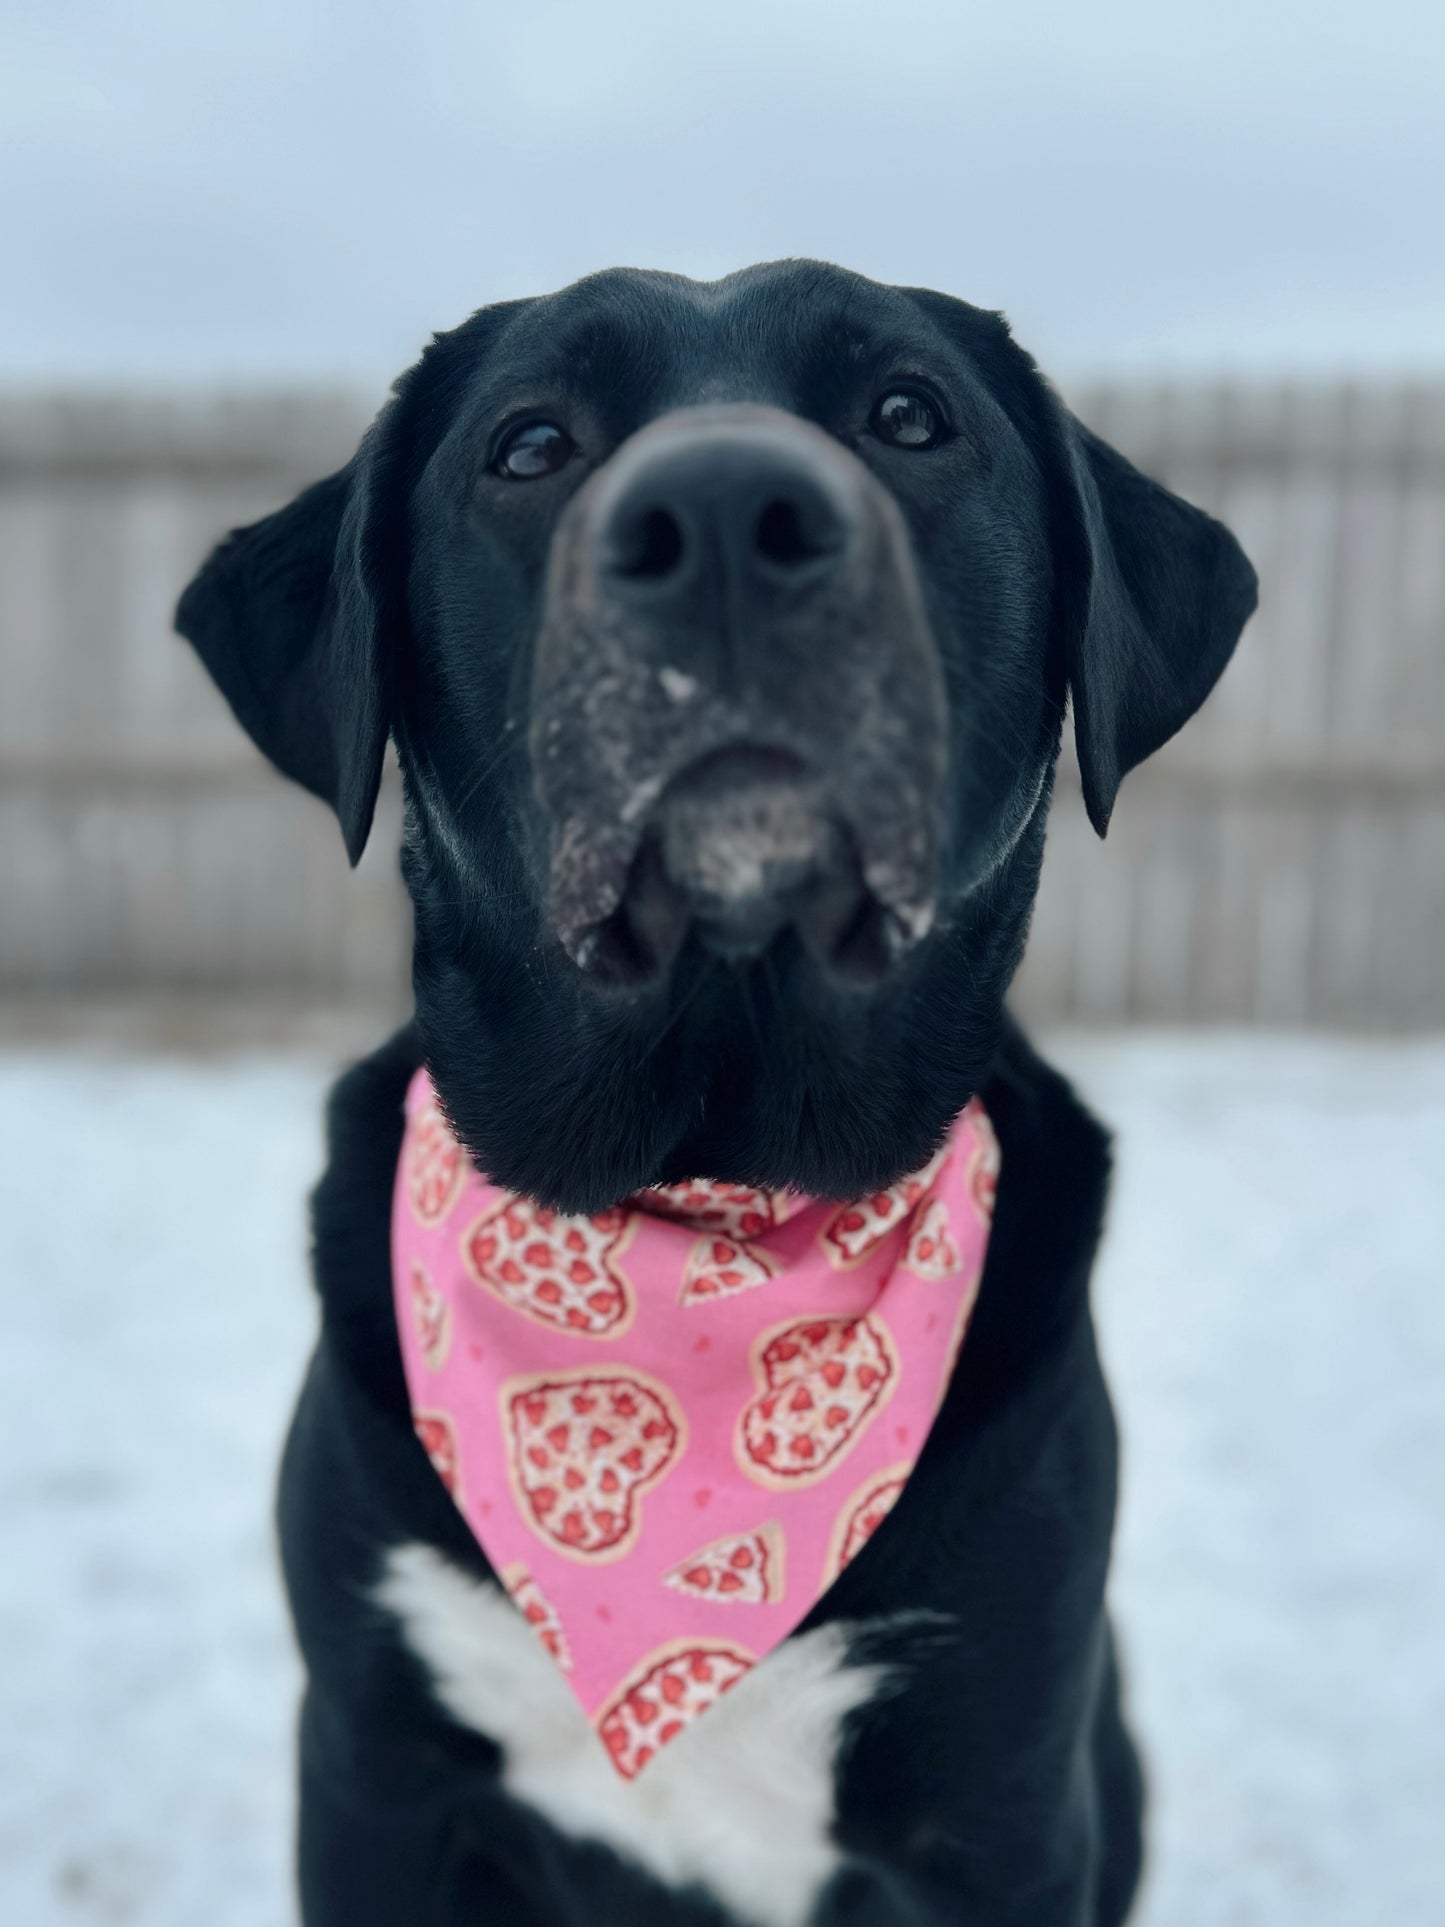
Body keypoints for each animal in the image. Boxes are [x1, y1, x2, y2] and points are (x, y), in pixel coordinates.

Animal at [178, 260, 1256, 1927]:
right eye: (530, 441)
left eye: (908, 412)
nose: (730, 507)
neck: (702, 1193)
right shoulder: (375, 1771)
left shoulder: (1004, 1793)